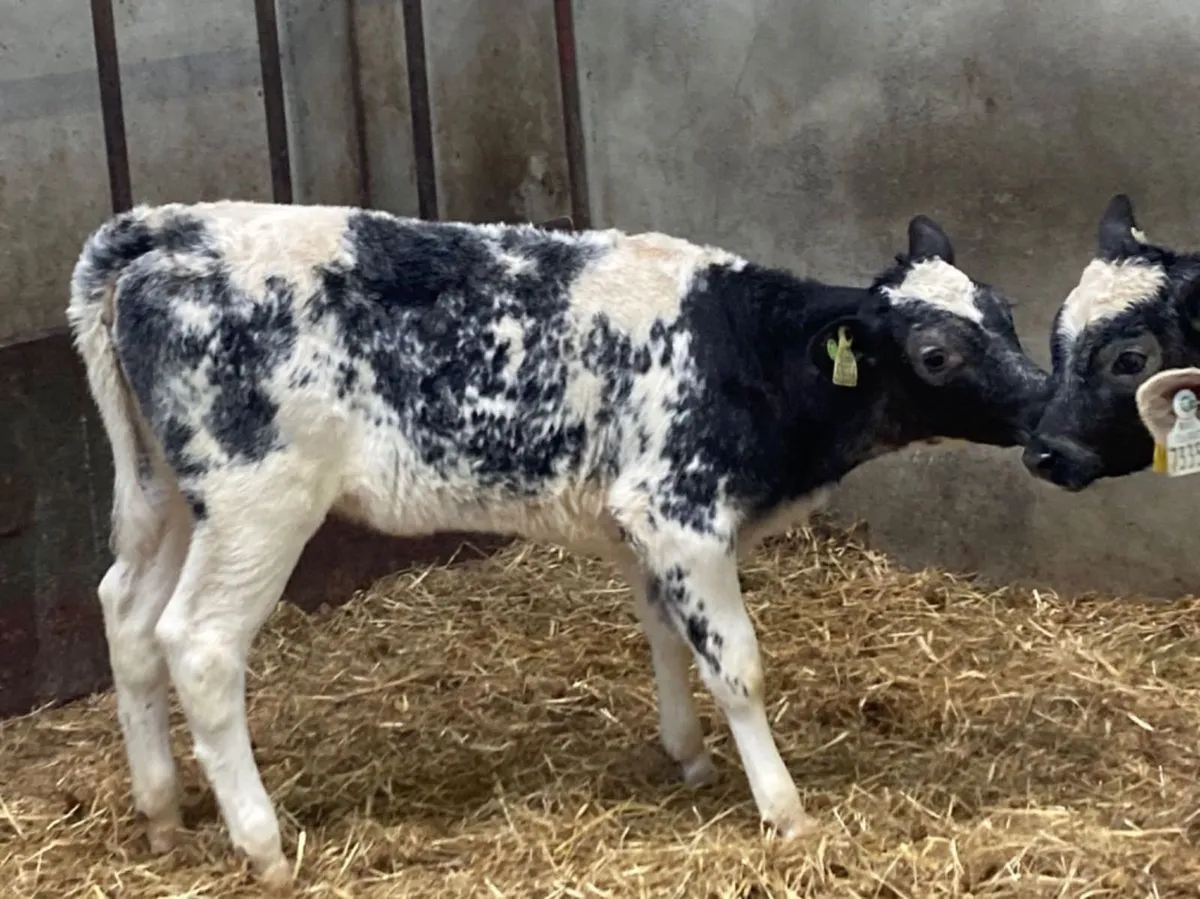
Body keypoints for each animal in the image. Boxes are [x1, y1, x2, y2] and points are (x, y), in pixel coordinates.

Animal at [67, 200, 1048, 889]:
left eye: (1002, 310)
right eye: (935, 354)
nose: (1046, 409)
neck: (743, 349)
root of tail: (163, 229)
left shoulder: (642, 528)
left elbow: (664, 636)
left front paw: (688, 755)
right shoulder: (680, 510)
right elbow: (737, 666)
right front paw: (785, 809)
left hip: (170, 497)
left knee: (126, 612)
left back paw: (162, 812)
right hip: (258, 502)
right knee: (198, 643)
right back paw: (262, 845)